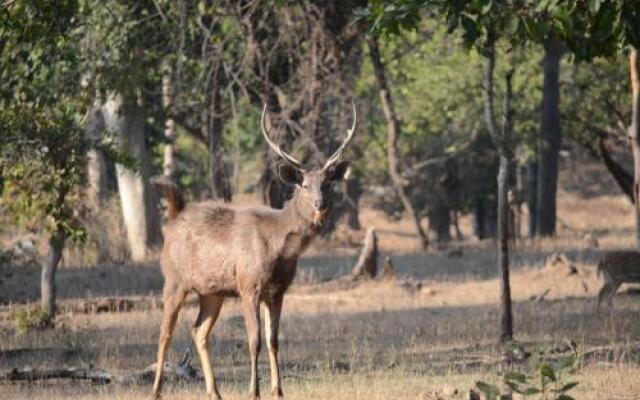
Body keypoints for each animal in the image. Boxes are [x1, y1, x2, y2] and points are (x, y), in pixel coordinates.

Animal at [152, 101, 358, 398]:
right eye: (304, 185)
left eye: (328, 183)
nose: (321, 204)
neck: (278, 248)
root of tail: (175, 218)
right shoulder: (249, 285)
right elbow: (254, 340)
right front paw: (254, 390)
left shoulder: (278, 291)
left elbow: (274, 340)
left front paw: (278, 389)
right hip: (174, 279)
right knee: (164, 332)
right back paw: (156, 390)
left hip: (212, 291)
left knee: (199, 330)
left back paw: (215, 392)